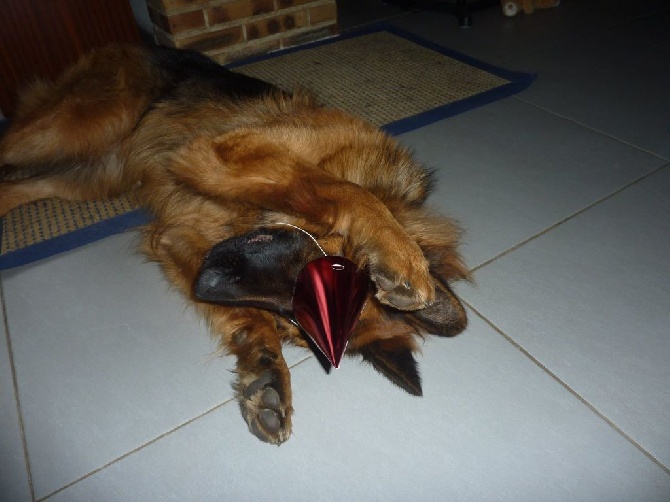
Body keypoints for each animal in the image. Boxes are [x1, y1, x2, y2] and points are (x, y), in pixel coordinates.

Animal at [0, 43, 472, 444]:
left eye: (289, 324)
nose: (206, 284)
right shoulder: (225, 149)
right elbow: (334, 188)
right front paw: (397, 252)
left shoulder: (183, 239)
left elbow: (244, 315)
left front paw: (265, 369)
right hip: (78, 127)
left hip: (94, 176)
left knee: (19, 186)